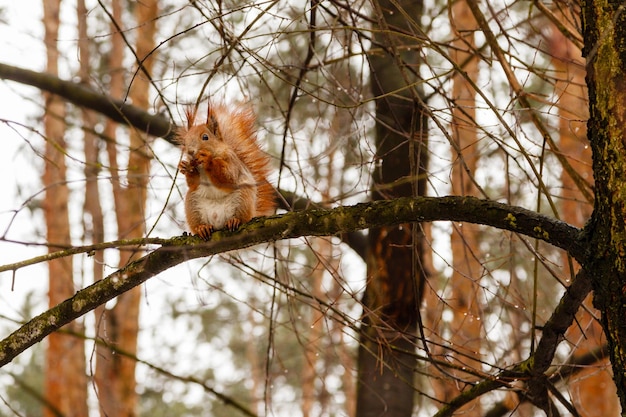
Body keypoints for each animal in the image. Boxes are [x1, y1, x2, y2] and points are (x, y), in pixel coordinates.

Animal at [176, 102, 272, 239]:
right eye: (184, 141)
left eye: (205, 137)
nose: (190, 152)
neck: (202, 168)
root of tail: (218, 222)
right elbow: (193, 183)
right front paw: (185, 167)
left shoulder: (232, 163)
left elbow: (228, 178)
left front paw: (208, 160)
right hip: (192, 205)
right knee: (197, 223)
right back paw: (202, 228)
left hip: (243, 199)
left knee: (241, 217)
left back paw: (234, 221)